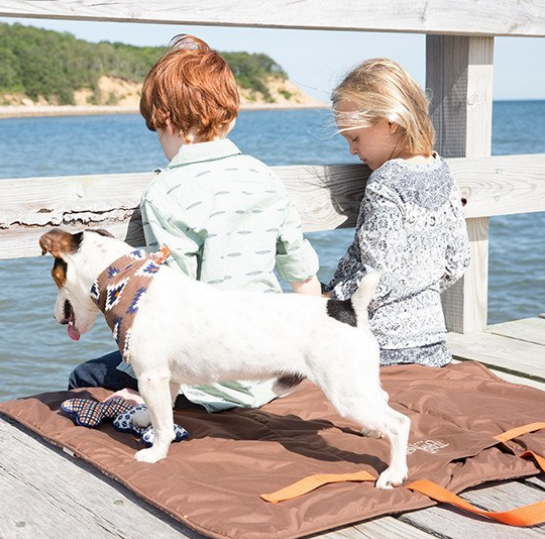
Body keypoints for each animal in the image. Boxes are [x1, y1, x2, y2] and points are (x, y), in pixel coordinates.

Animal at [40, 228, 408, 490]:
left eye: (55, 276)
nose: (55, 315)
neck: (131, 287)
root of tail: (347, 308)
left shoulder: (152, 376)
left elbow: (164, 426)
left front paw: (156, 452)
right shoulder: (167, 379)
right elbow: (159, 412)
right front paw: (143, 418)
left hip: (347, 393)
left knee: (400, 423)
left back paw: (394, 473)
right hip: (358, 384)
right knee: (384, 400)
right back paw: (375, 435)